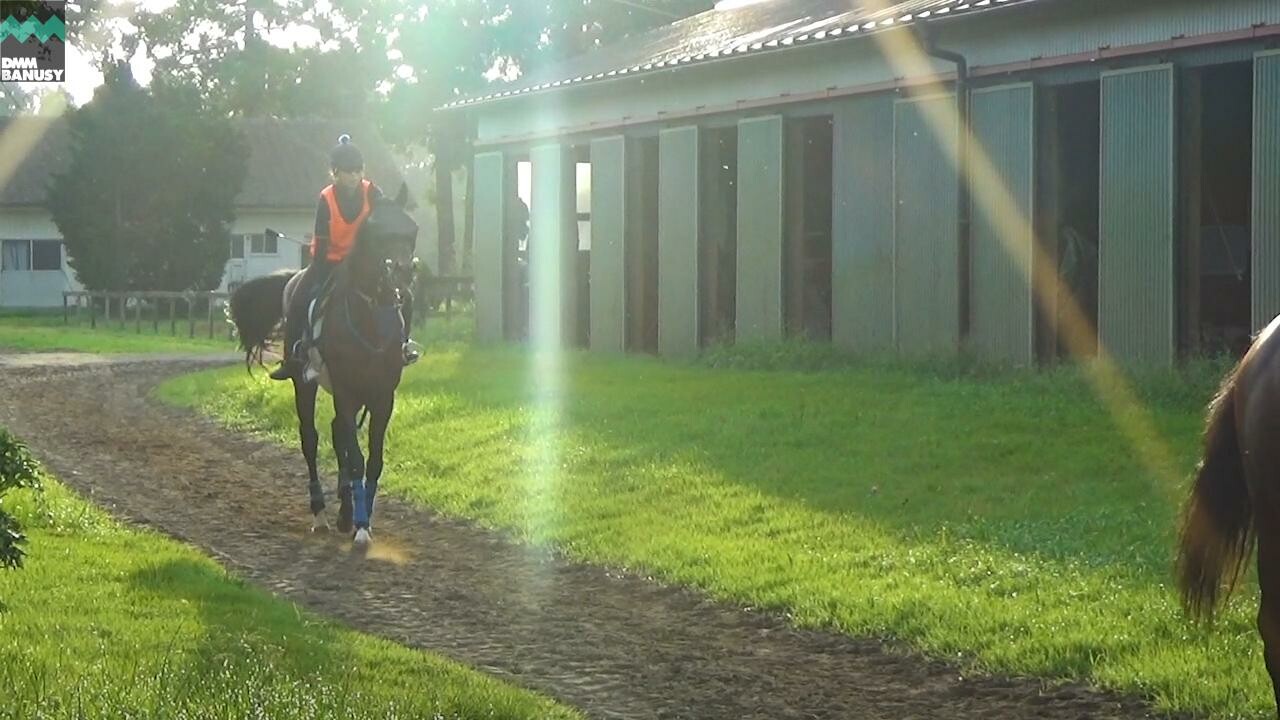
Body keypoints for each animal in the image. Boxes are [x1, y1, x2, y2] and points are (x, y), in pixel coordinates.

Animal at [224, 189, 414, 543]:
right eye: (378, 230)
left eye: (412, 228)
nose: (403, 273)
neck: (369, 318)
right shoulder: (346, 390)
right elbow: (356, 458)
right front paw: (360, 526)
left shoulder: (383, 396)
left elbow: (373, 460)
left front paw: (362, 518)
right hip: (305, 384)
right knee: (311, 439)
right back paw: (322, 513)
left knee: (338, 434)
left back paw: (343, 508)